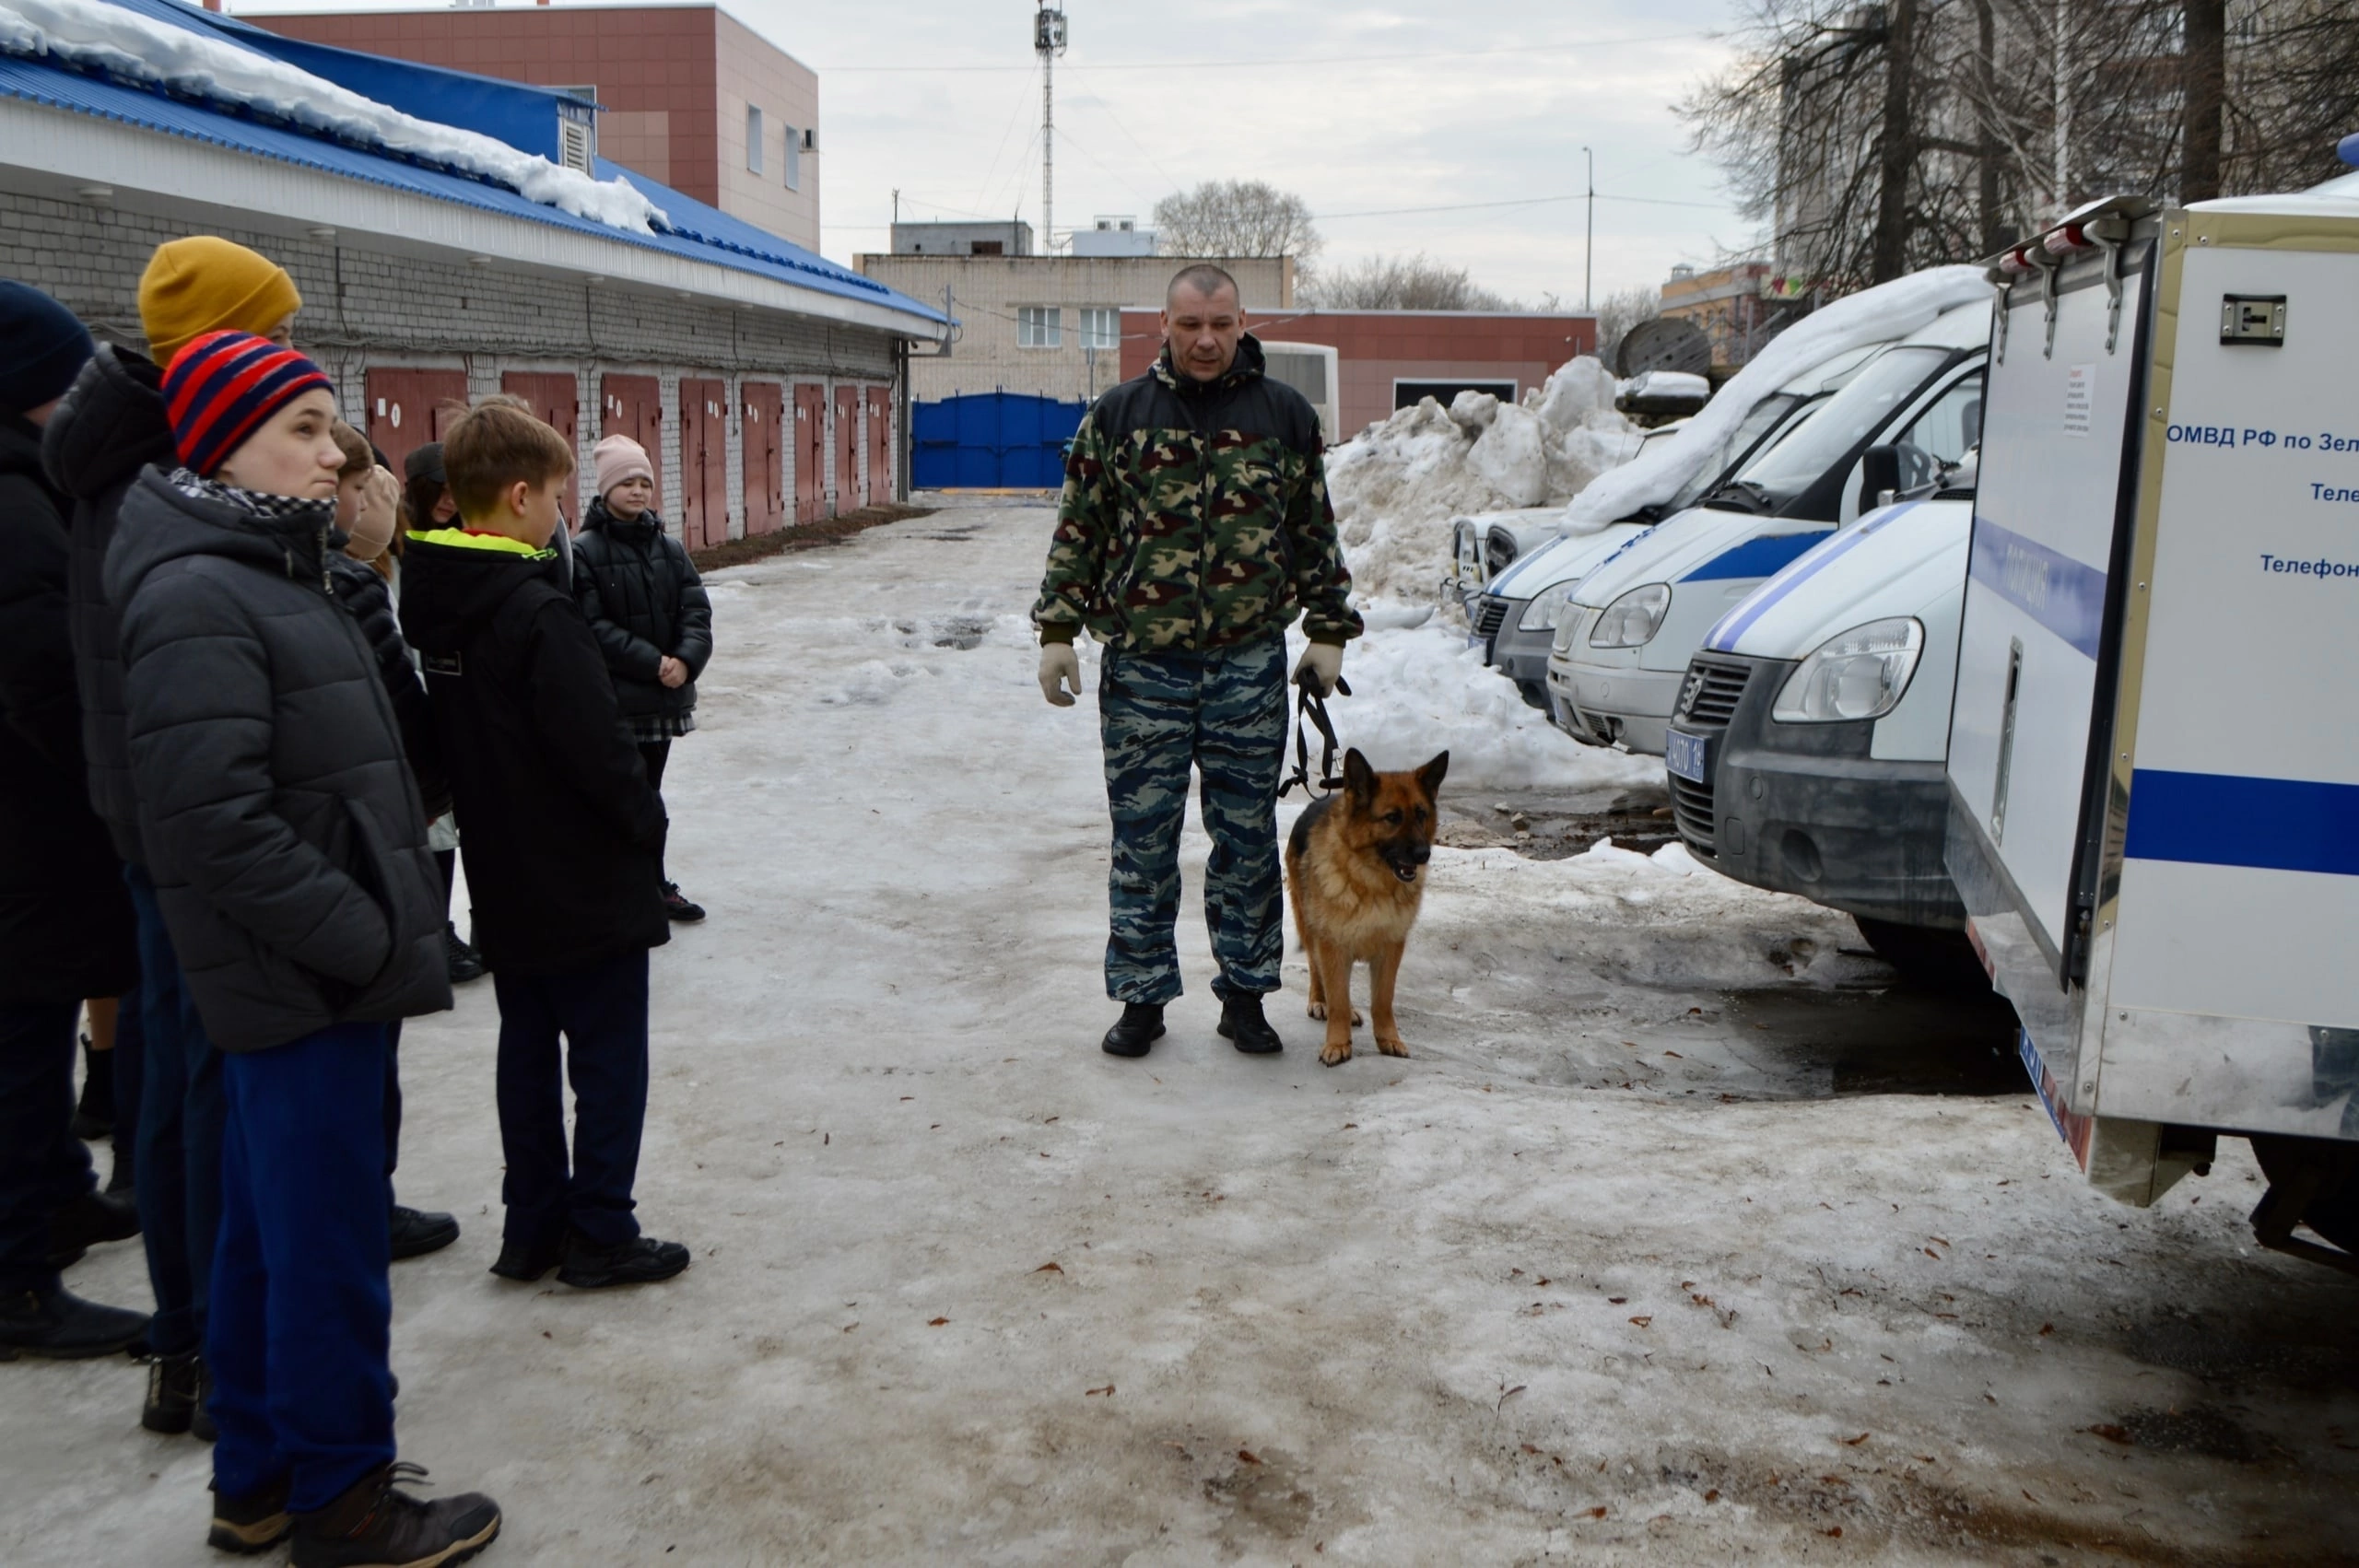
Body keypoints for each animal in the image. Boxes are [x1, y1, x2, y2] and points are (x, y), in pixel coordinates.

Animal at [1292, 744, 1434, 1065]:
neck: (1373, 882)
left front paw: (1388, 1039)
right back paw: (1320, 1001)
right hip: (1309, 926)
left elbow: (1383, 1000)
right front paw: (1337, 1044)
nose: (1424, 854)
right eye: (1392, 817)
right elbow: (1338, 1001)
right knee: (1317, 969)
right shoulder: (1333, 946)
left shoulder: (1390, 949)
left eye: (1421, 814)